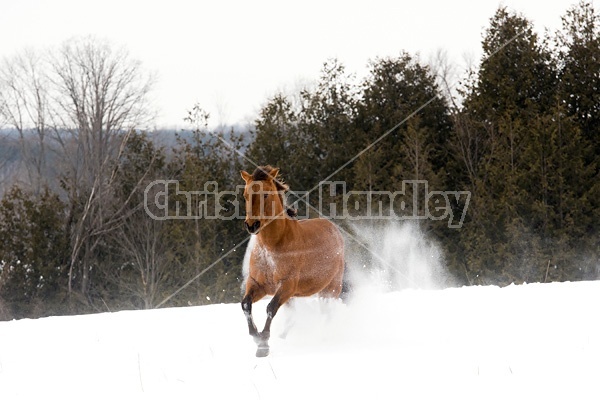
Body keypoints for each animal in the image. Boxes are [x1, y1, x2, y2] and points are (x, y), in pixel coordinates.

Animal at [238, 164, 342, 358]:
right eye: (245, 195)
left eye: (266, 194)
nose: (252, 225)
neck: (273, 245)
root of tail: (334, 229)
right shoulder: (258, 284)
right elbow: (246, 305)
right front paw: (256, 337)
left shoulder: (287, 285)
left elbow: (270, 308)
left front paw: (263, 344)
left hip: (331, 288)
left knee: (327, 312)